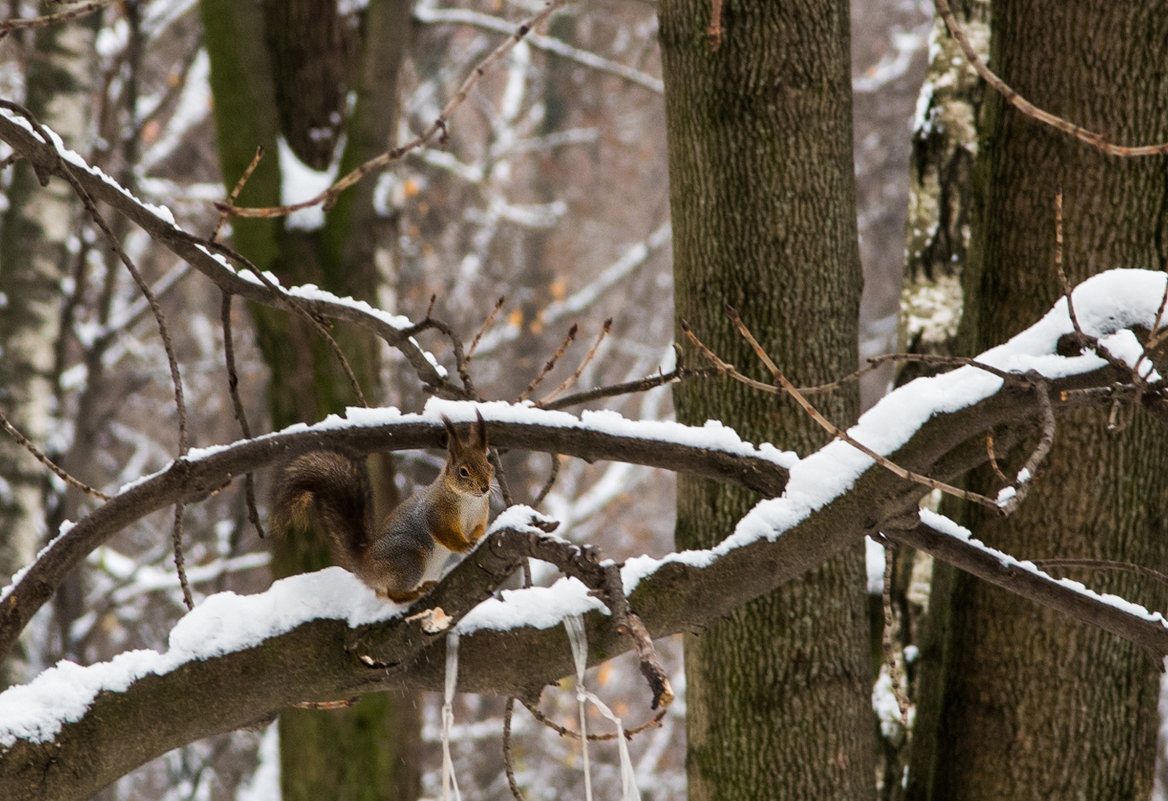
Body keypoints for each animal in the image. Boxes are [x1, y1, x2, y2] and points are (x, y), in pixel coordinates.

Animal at [269, 413, 492, 602]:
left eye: (489, 466)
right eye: (463, 471)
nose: (485, 488)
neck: (469, 500)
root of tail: (366, 568)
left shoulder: (481, 513)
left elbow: (479, 527)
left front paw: (479, 536)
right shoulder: (436, 513)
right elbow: (444, 532)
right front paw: (463, 545)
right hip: (408, 558)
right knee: (392, 594)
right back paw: (411, 594)